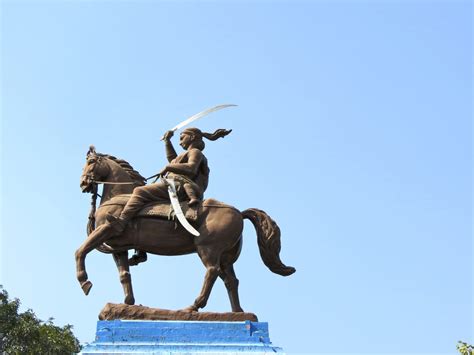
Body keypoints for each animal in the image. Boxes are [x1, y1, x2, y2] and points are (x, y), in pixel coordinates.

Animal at [76, 149, 294, 312]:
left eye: (91, 161)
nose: (84, 183)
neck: (119, 196)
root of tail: (239, 212)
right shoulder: (119, 248)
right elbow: (124, 275)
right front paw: (128, 303)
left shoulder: (105, 230)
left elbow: (81, 250)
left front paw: (84, 282)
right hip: (226, 256)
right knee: (231, 280)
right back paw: (237, 312)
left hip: (208, 249)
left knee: (212, 272)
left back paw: (194, 306)